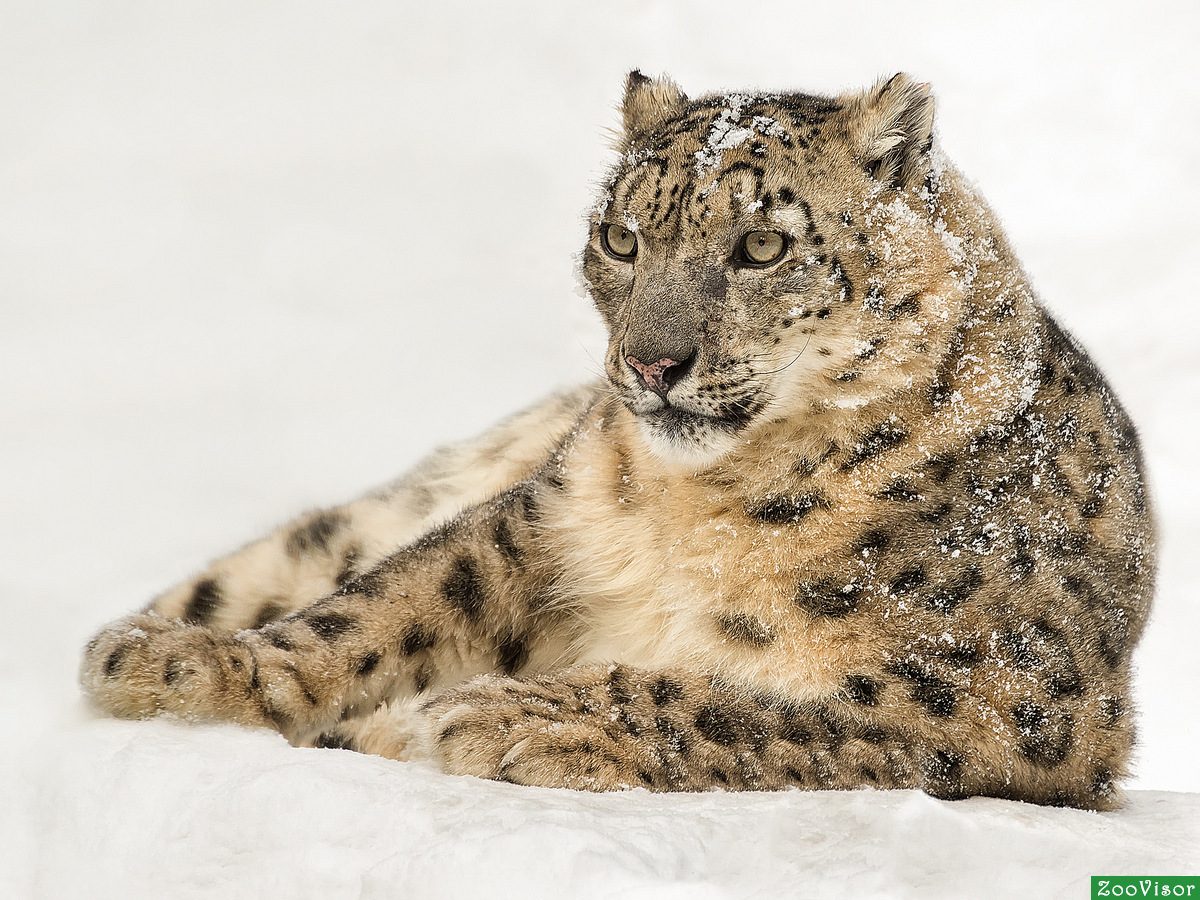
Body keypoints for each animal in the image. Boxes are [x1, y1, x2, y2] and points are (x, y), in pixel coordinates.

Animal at [79, 72, 1147, 811]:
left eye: (764, 245)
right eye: (622, 238)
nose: (650, 363)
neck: (704, 504)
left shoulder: (993, 694)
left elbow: (745, 704)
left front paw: (517, 715)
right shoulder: (534, 521)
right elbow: (388, 605)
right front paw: (194, 669)